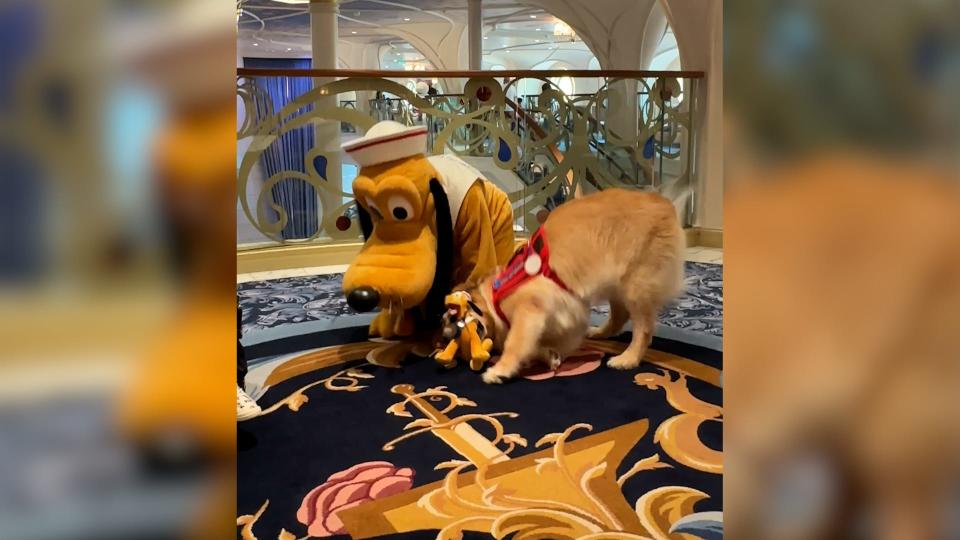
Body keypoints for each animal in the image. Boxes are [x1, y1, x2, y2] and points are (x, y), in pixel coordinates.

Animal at [470, 190, 684, 384]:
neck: (494, 294)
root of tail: (664, 203)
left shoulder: (530, 308)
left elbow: (514, 343)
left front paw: (501, 368)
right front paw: (548, 355)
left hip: (635, 286)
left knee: (643, 329)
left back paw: (628, 358)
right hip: (616, 285)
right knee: (620, 316)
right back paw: (599, 333)